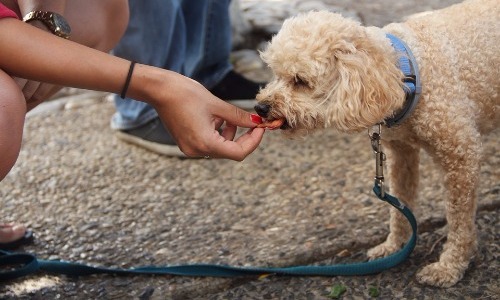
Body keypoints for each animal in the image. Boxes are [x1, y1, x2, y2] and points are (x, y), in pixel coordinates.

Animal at [256, 0, 498, 288]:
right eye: (275, 74)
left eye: (300, 81)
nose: (260, 107)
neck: (407, 71)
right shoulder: (401, 154)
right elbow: (401, 205)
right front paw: (394, 246)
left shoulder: (461, 156)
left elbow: (459, 221)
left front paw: (450, 267)